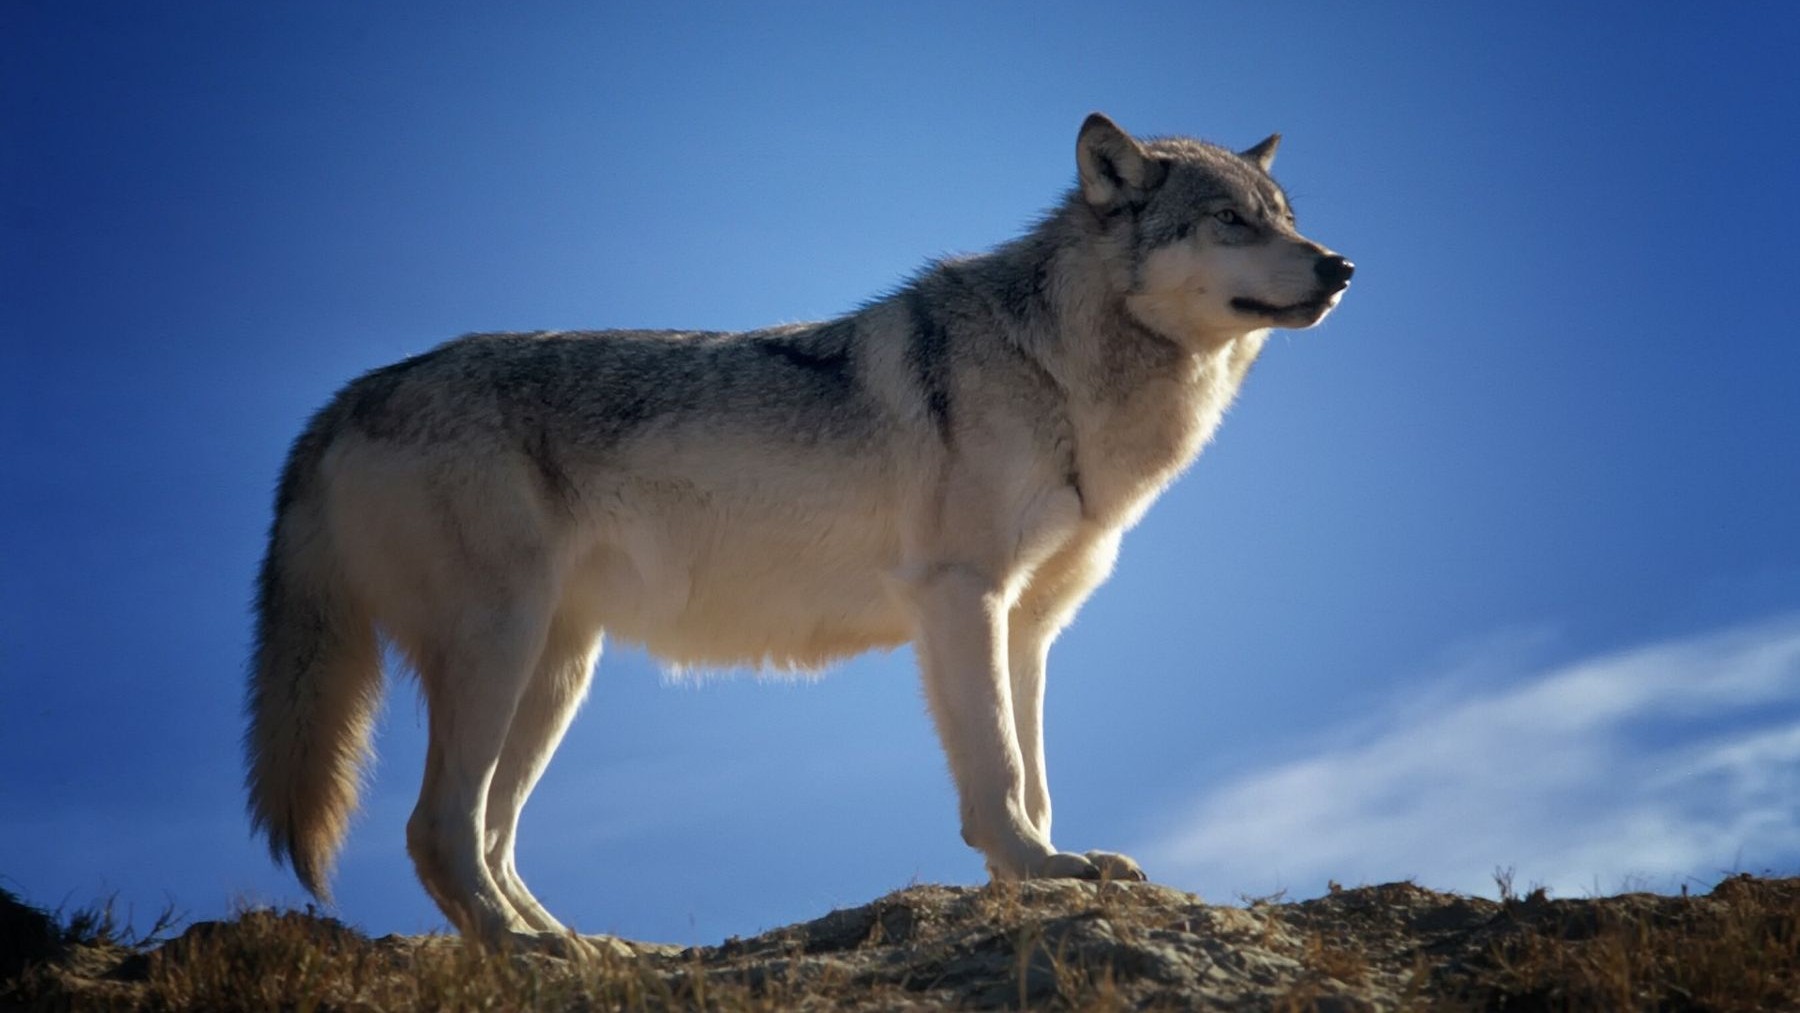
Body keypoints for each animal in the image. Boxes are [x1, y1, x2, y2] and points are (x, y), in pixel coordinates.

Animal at [245, 113, 1352, 952]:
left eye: (1286, 219)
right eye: (1229, 222)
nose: (1341, 266)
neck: (1058, 369)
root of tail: (344, 398)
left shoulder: (1029, 625)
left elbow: (1034, 772)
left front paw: (1045, 868)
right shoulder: (962, 597)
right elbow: (997, 770)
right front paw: (1038, 869)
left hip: (556, 673)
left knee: (491, 834)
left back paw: (579, 946)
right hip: (501, 650)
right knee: (438, 828)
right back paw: (524, 950)